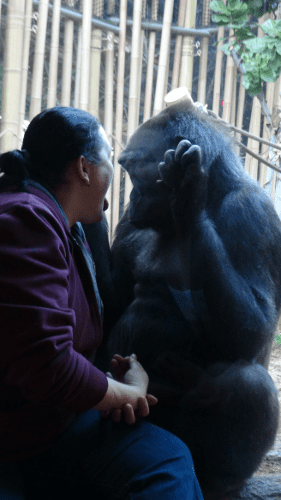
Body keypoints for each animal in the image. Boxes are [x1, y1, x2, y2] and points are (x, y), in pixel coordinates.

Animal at [83, 100, 280, 500]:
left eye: (134, 169)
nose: (131, 197)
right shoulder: (131, 223)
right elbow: (114, 304)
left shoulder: (254, 213)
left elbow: (254, 329)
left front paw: (189, 198)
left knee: (248, 386)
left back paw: (220, 482)